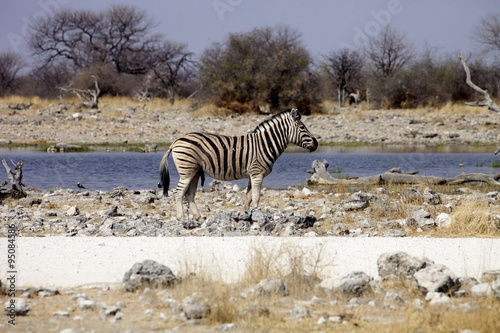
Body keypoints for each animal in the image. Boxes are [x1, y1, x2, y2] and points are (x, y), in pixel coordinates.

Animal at [158, 107, 318, 219]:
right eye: (302, 127)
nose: (316, 143)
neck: (265, 144)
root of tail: (176, 141)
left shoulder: (252, 175)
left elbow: (248, 197)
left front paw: (247, 214)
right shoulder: (257, 173)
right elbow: (256, 196)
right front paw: (258, 213)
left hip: (195, 171)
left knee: (189, 194)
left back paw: (198, 218)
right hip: (187, 170)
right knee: (178, 193)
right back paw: (181, 218)